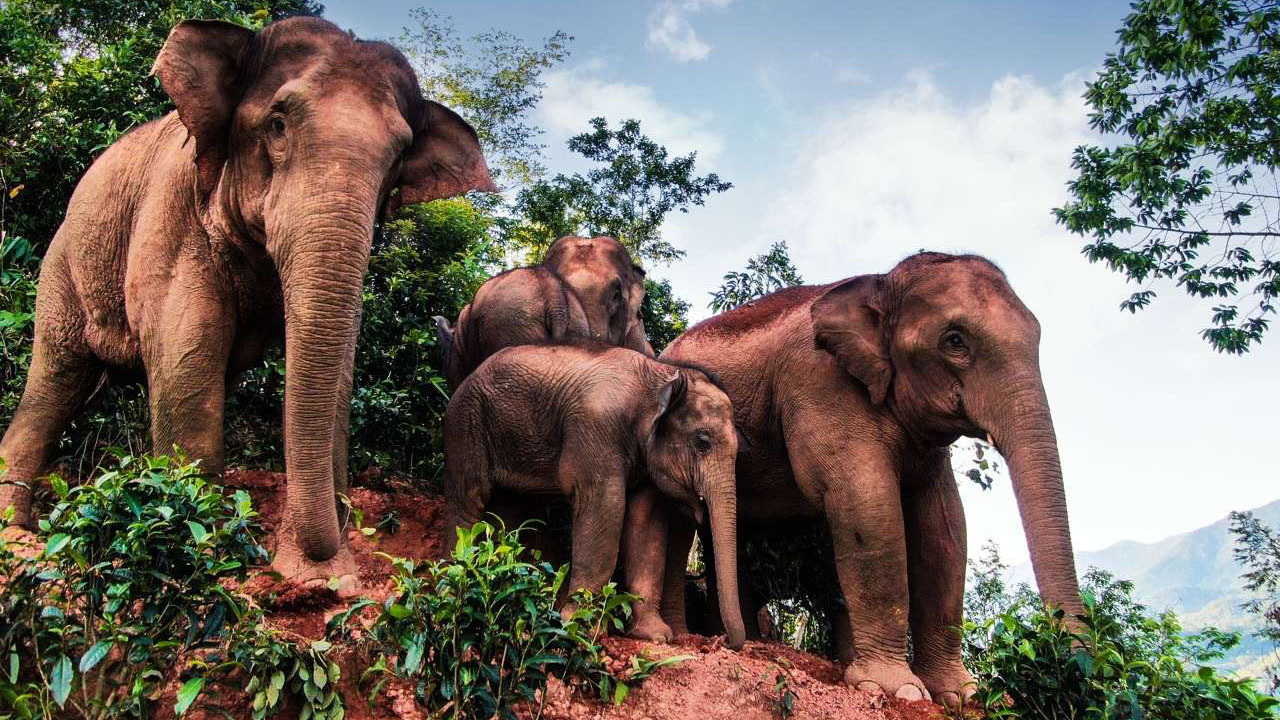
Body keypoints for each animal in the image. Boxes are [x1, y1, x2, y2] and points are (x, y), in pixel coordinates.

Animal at [0, 16, 496, 589]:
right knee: (57, 376)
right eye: (277, 125)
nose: (327, 560)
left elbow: (336, 371)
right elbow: (185, 357)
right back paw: (17, 534)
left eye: (398, 158)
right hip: (62, 266)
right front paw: (203, 557)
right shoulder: (174, 211)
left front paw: (320, 577)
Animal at [445, 340, 747, 645]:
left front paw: (655, 636)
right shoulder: (595, 428)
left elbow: (646, 524)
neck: (659, 375)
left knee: (507, 511)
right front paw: (579, 627)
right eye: (703, 442)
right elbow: (605, 507)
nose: (722, 640)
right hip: (466, 423)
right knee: (469, 499)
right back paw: (451, 590)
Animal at [655, 251, 1085, 702]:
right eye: (955, 341)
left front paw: (960, 695)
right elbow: (868, 507)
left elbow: (944, 526)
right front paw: (900, 691)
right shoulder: (821, 386)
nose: (1075, 665)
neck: (881, 283)